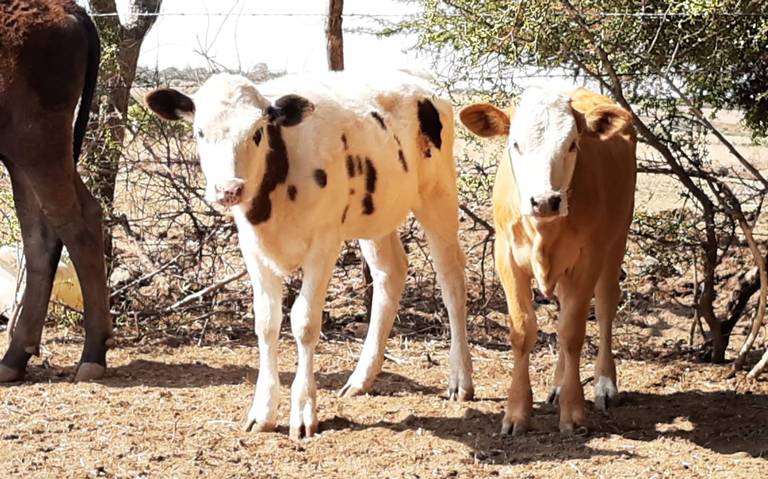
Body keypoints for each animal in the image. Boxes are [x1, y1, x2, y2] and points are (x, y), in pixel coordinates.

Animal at [0, 0, 112, 382]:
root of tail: (67, 9)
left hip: (37, 146)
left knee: (75, 229)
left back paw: (93, 356)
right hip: (25, 156)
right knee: (49, 234)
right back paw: (14, 358)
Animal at [146, 69, 472, 440]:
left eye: (257, 132)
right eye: (200, 131)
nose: (229, 189)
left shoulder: (324, 244)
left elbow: (303, 321)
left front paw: (303, 411)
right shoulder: (252, 249)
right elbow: (266, 322)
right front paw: (262, 411)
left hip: (438, 194)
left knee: (451, 278)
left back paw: (460, 379)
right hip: (376, 214)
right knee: (390, 274)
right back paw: (361, 378)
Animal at [462, 86, 636, 436]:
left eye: (572, 144)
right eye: (515, 144)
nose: (545, 201)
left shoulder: (587, 259)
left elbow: (572, 332)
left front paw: (574, 412)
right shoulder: (506, 257)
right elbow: (523, 330)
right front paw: (516, 412)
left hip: (616, 241)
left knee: (605, 307)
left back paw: (604, 385)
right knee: (565, 309)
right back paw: (556, 384)